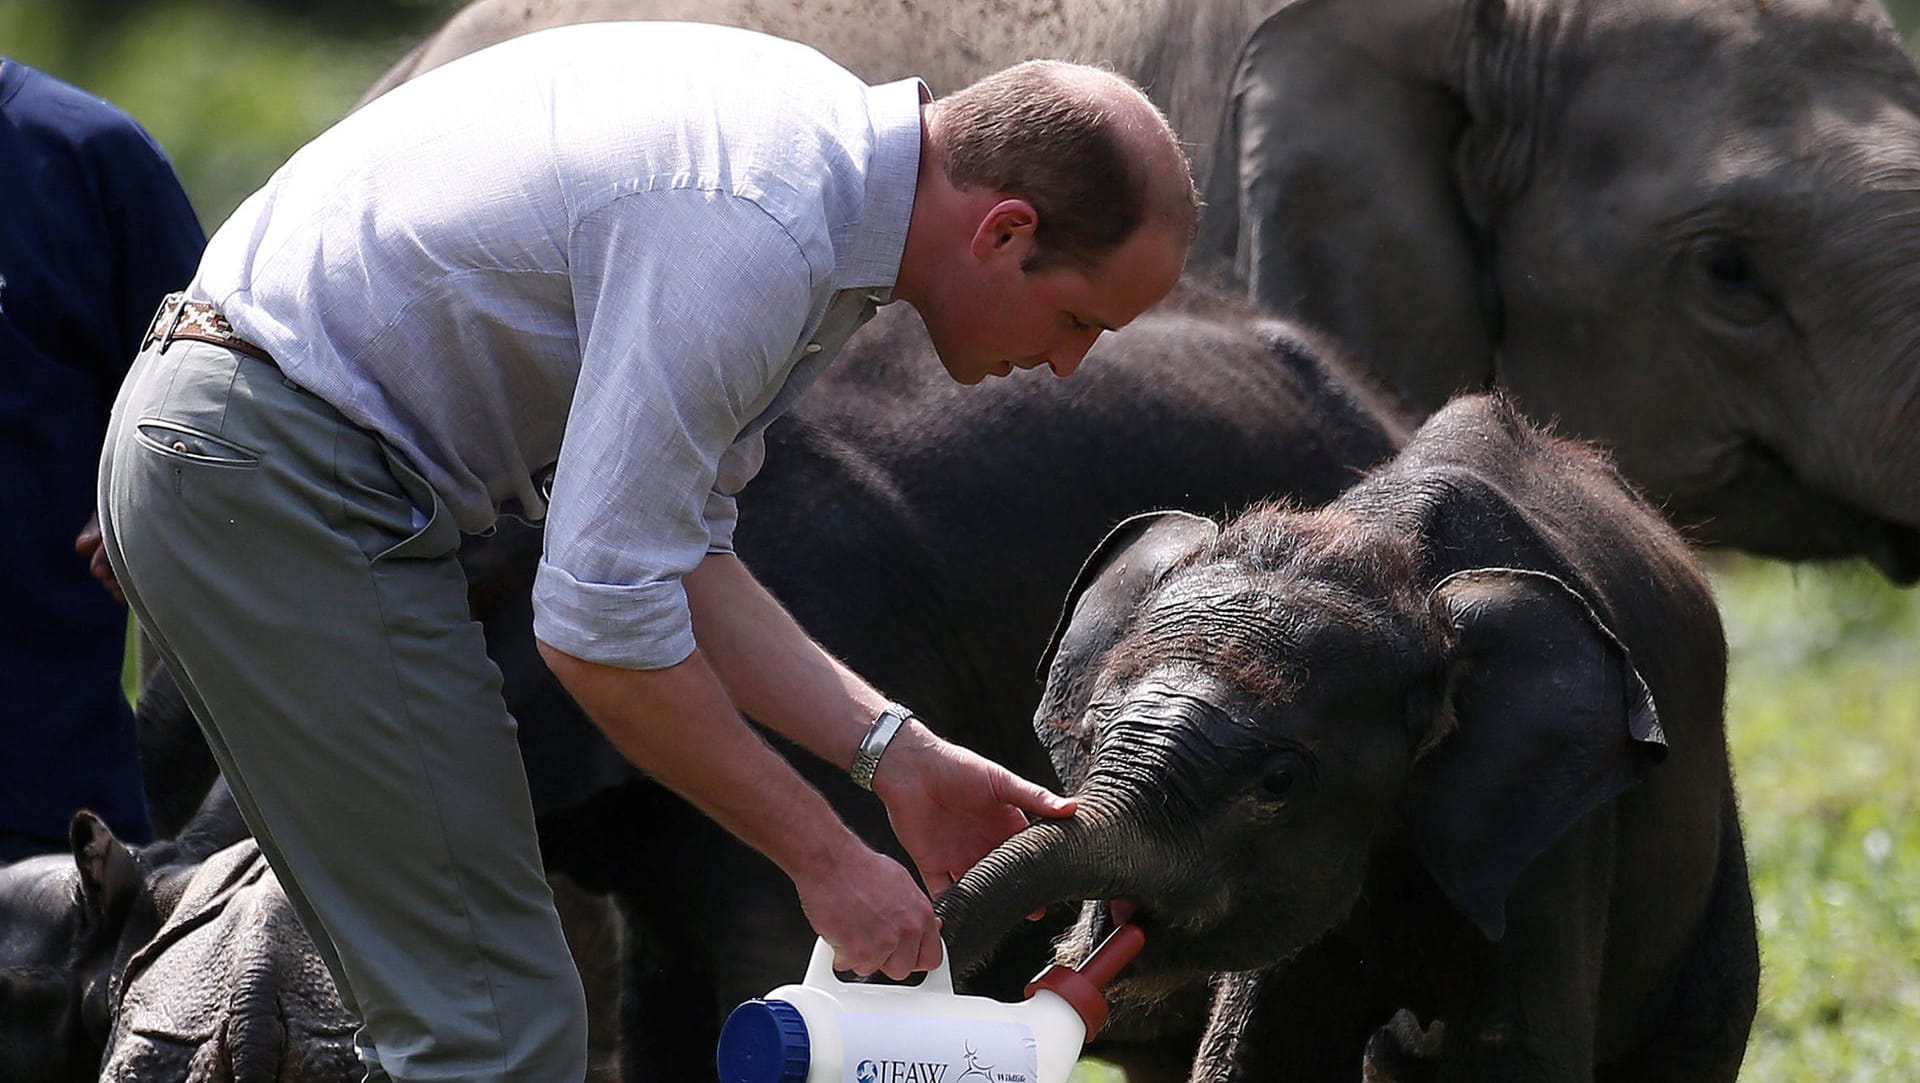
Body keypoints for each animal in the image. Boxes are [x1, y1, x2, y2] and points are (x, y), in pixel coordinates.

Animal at [936, 397, 1758, 1083]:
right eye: (1092, 730)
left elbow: (1516, 1057)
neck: (1394, 557)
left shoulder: (1547, 831)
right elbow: (1258, 1056)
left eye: (1278, 781)